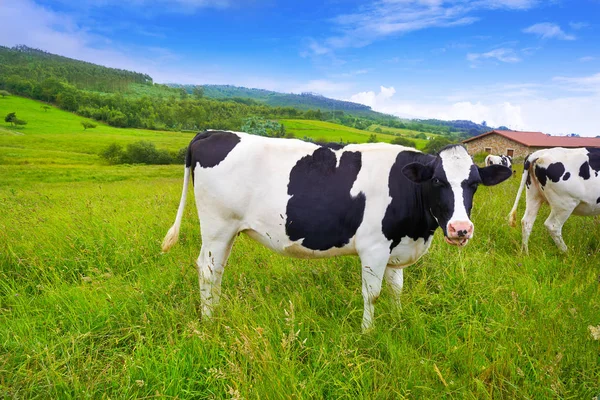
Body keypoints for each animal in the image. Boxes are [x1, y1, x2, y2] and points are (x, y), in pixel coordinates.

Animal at [163, 130, 510, 328]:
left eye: (474, 184)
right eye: (438, 180)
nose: (461, 229)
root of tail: (213, 132)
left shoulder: (397, 247)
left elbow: (397, 289)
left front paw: (398, 320)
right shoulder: (374, 248)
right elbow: (373, 294)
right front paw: (368, 333)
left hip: (227, 232)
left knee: (217, 271)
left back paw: (216, 311)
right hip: (217, 227)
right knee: (207, 270)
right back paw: (209, 321)